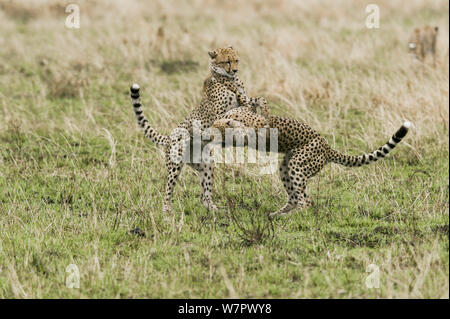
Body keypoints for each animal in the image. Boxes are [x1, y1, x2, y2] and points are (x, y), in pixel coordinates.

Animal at [130, 46, 262, 215]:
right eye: (227, 61)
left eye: (236, 60)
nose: (235, 70)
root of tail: (169, 136)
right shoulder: (219, 114)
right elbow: (231, 115)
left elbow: (249, 106)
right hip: (175, 164)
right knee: (168, 188)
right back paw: (167, 210)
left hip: (206, 164)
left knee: (204, 195)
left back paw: (214, 209)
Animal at [211, 104, 412, 219]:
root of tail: (327, 147)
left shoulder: (255, 126)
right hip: (287, 167)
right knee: (300, 198)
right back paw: (278, 214)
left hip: (297, 164)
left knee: (305, 203)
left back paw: (289, 216)